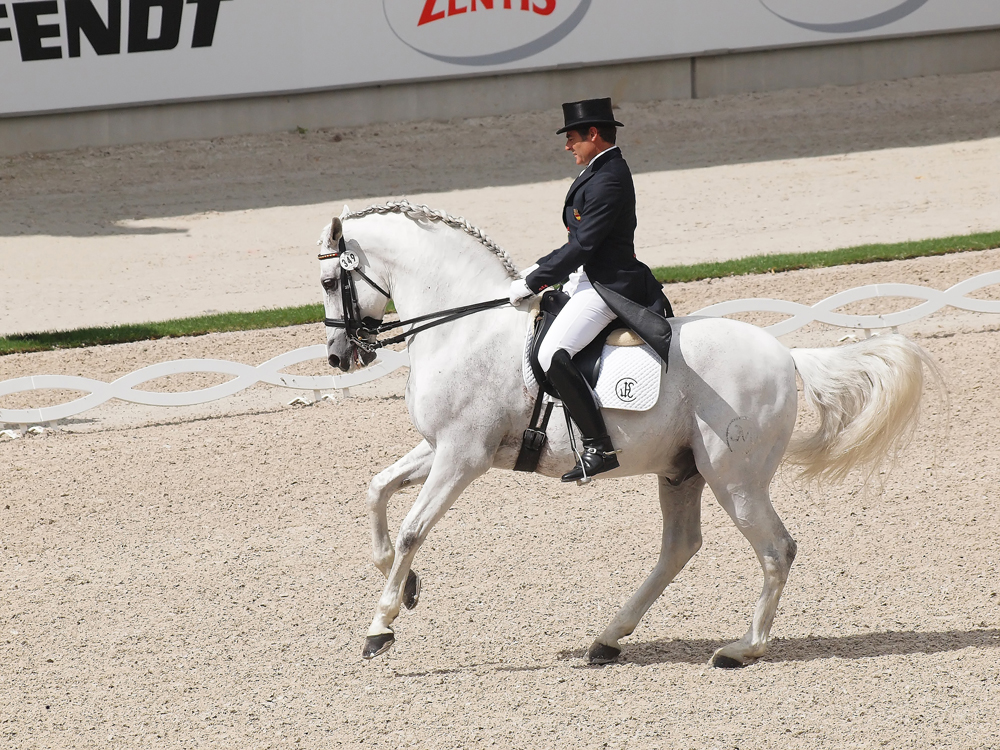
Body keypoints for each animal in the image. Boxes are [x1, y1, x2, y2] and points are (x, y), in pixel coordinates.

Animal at [320, 201, 936, 668]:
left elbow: (412, 530)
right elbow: (378, 489)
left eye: (329, 280)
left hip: (734, 478)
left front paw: (380, 626)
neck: (465, 327)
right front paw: (405, 586)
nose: (338, 357)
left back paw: (742, 650)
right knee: (680, 547)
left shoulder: (462, 456)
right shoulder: (443, 447)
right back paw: (608, 638)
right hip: (683, 472)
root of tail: (786, 355)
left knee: (775, 549)